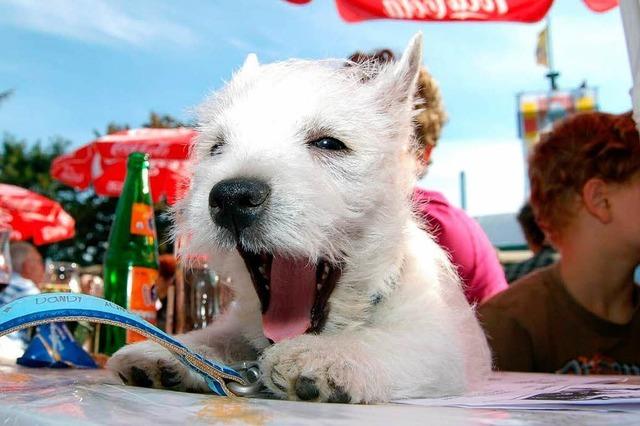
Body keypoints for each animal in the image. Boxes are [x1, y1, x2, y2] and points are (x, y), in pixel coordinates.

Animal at [107, 33, 492, 402]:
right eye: (217, 147)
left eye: (329, 143)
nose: (232, 198)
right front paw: (171, 352)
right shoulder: (237, 323)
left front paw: (324, 356)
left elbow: (393, 342)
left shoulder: (441, 345)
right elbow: (220, 335)